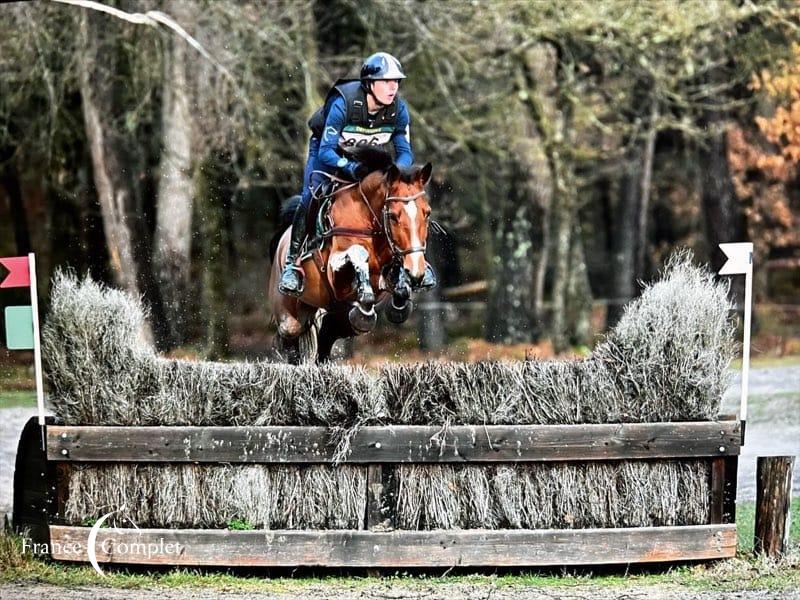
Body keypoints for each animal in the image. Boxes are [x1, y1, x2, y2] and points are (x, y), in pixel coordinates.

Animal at [268, 148, 432, 364]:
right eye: (393, 216)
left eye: (427, 213)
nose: (416, 270)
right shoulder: (335, 269)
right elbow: (357, 253)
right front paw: (366, 293)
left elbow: (396, 284)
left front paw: (399, 296)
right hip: (288, 313)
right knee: (291, 338)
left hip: (331, 311)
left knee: (330, 332)